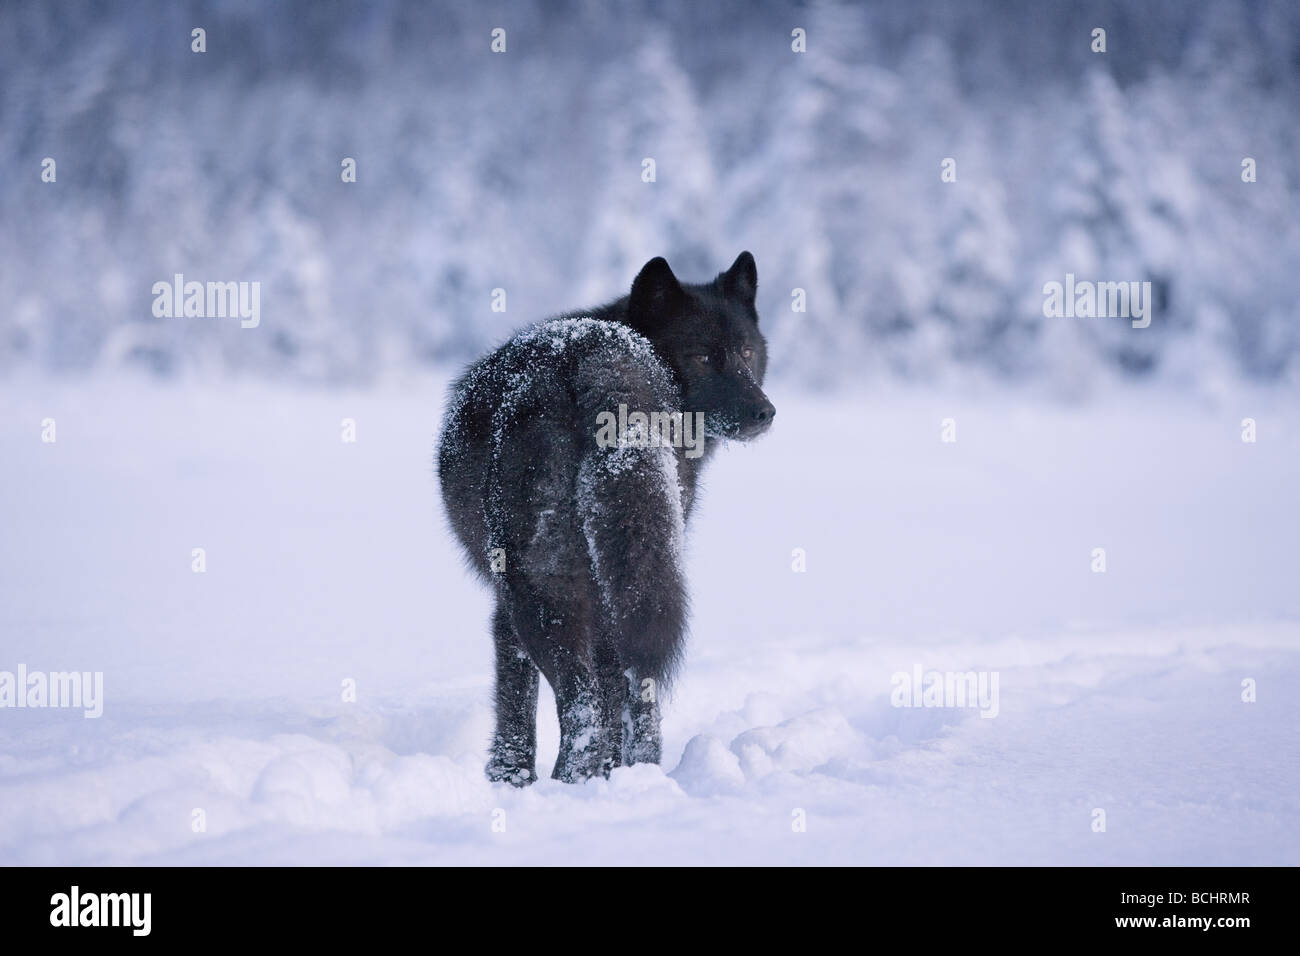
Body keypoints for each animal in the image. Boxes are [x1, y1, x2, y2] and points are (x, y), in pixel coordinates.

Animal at [437, 252, 774, 784]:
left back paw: (568, 786)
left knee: (584, 707)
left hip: (541, 592)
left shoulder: (505, 610)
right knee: (641, 692)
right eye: (703, 357)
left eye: (744, 351)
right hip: (638, 573)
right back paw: (636, 777)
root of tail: (602, 360)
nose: (766, 412)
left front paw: (509, 779)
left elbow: (515, 699)